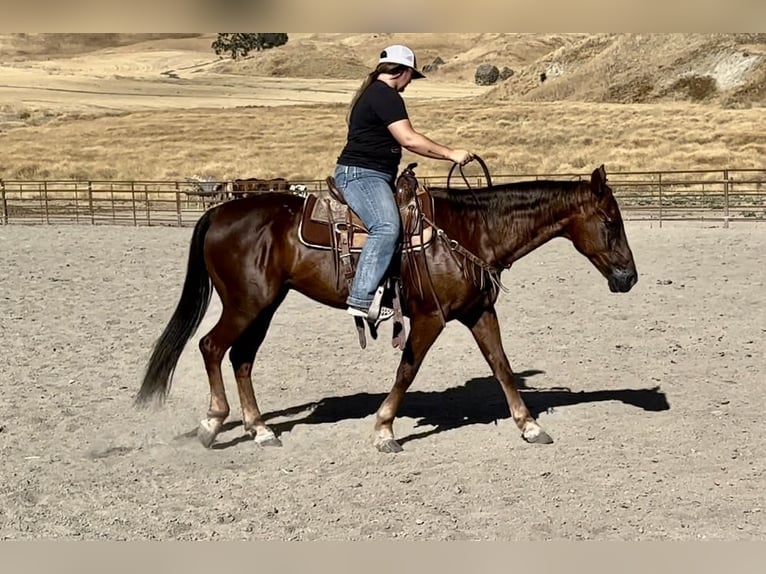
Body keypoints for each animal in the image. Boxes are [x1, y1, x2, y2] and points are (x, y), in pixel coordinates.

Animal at [135, 163, 640, 454]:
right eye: (611, 222)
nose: (629, 278)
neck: (470, 231)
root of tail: (218, 213)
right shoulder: (430, 318)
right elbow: (407, 370)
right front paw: (383, 430)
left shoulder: (478, 312)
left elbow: (500, 364)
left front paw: (529, 426)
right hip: (245, 303)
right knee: (211, 346)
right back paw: (212, 423)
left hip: (265, 306)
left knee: (241, 358)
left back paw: (260, 429)